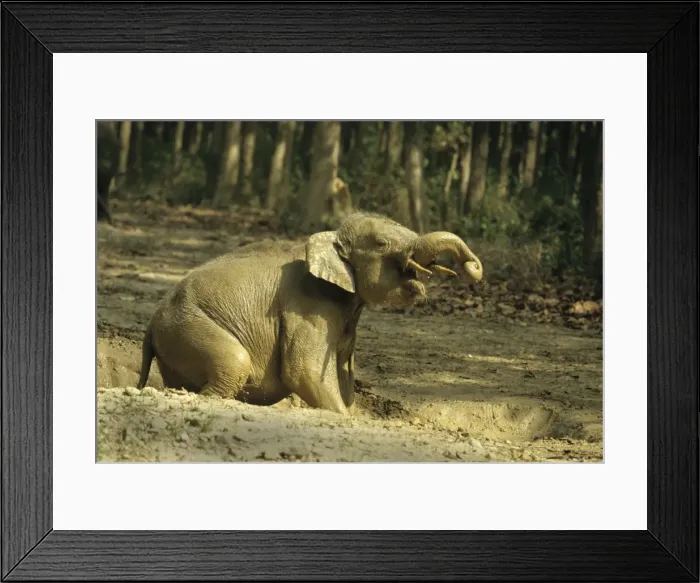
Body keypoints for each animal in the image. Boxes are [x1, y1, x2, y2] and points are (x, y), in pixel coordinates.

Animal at [137, 212, 483, 414]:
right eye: (382, 243)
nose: (472, 267)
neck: (328, 240)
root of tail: (151, 324)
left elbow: (343, 374)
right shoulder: (309, 306)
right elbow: (304, 370)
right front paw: (344, 418)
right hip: (185, 327)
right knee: (234, 362)